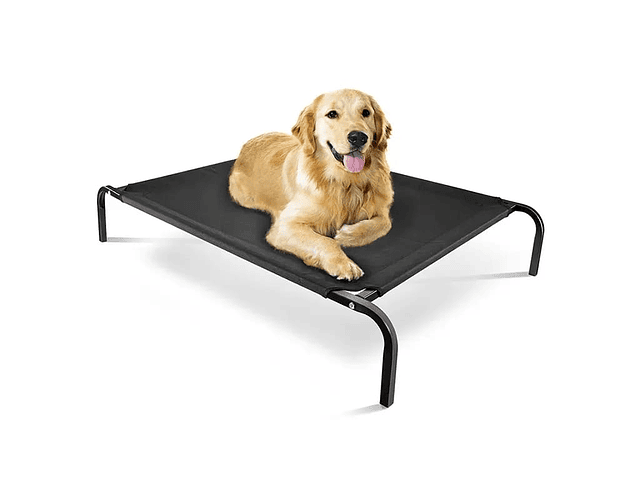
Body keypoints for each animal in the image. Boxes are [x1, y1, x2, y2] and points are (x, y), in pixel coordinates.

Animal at [228, 89, 393, 281]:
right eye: (332, 114)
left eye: (366, 112)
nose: (358, 137)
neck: (347, 182)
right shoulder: (285, 226)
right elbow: (325, 241)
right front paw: (344, 264)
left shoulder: (381, 209)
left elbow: (384, 223)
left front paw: (349, 235)